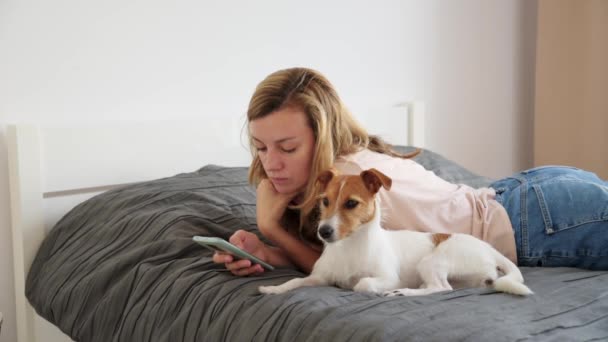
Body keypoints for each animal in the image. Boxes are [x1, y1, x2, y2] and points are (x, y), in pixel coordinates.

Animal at [258, 168, 528, 296]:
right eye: (324, 201)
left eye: (351, 203)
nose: (323, 232)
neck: (350, 246)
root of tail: (490, 250)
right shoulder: (319, 278)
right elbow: (295, 281)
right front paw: (273, 289)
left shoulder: (386, 277)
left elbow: (362, 284)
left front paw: (371, 288)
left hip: (432, 261)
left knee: (440, 288)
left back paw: (403, 292)